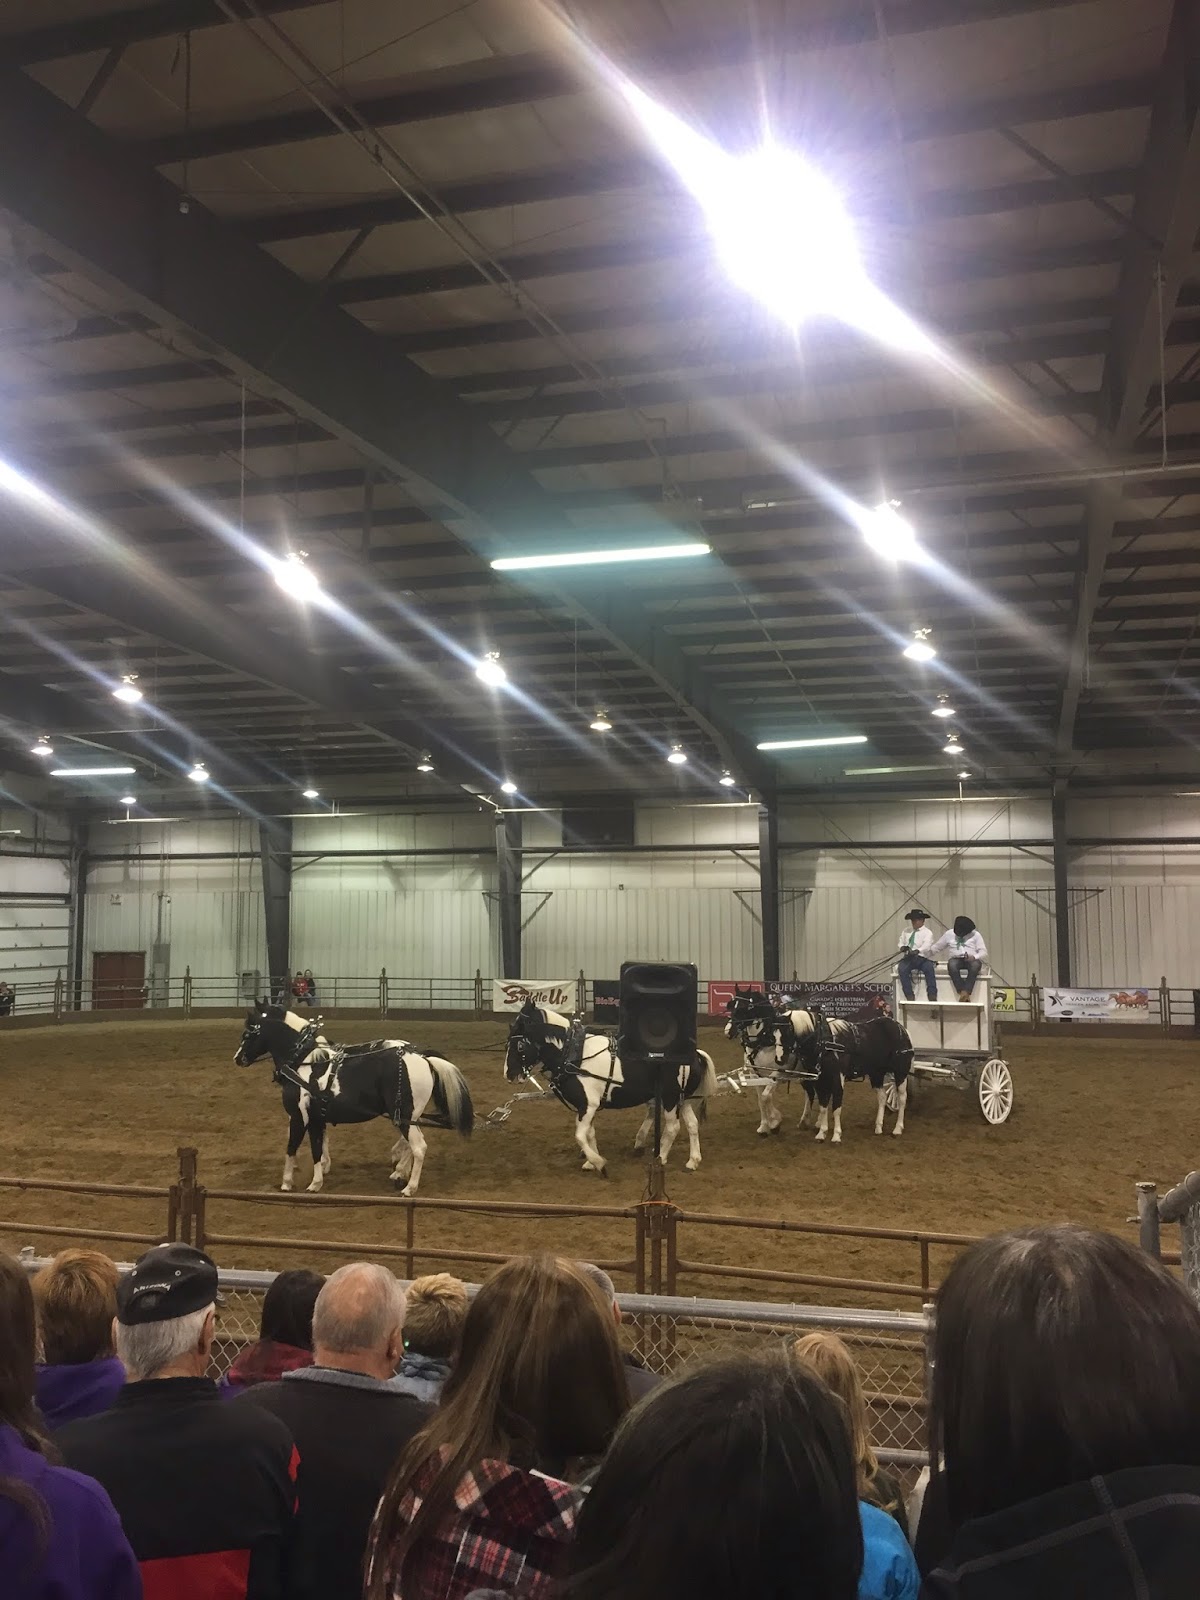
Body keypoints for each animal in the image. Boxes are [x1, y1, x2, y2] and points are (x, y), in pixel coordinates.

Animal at [234, 1003, 474, 1194]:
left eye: (247, 1035)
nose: (238, 1058)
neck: (303, 1061)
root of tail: (422, 1056)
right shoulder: (317, 1118)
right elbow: (317, 1146)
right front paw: (318, 1178)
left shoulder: (298, 1116)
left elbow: (292, 1146)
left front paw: (287, 1182)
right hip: (408, 1116)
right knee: (412, 1142)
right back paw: (399, 1173)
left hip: (403, 1115)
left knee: (419, 1147)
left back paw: (409, 1187)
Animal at [504, 999, 718, 1175]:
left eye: (520, 1045)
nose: (509, 1074)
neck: (574, 1054)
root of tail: (695, 1053)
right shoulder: (585, 1106)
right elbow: (589, 1133)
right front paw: (590, 1162)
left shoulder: (588, 1105)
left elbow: (580, 1135)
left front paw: (598, 1162)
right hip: (682, 1099)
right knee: (692, 1125)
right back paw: (692, 1161)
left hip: (670, 1097)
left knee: (673, 1127)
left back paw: (661, 1157)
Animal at [724, 987, 913, 1143]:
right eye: (731, 1006)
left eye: (744, 1007)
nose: (728, 1031)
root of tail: (899, 1027)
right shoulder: (757, 1075)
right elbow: (762, 1100)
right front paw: (765, 1126)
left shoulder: (780, 1074)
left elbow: (767, 1097)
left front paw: (775, 1123)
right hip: (875, 1073)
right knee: (880, 1097)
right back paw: (877, 1126)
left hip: (900, 1072)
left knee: (902, 1098)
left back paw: (898, 1128)